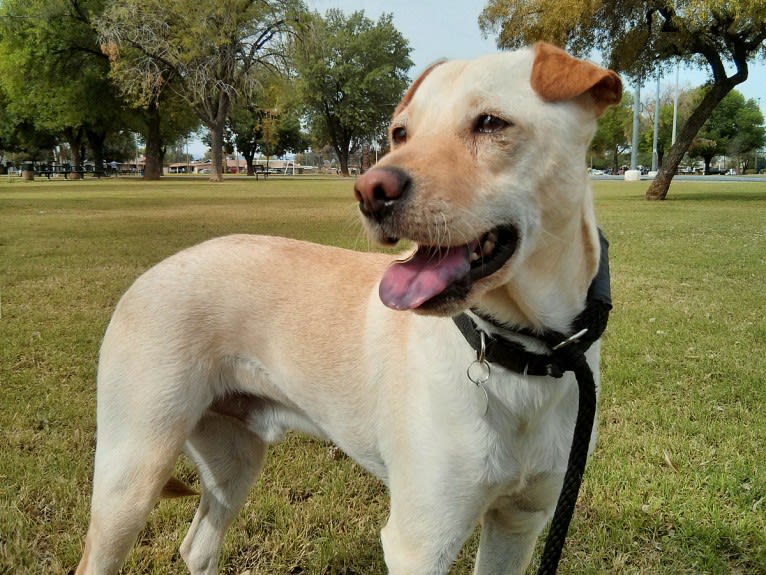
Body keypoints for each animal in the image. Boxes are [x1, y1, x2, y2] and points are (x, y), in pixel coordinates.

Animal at [75, 42, 620, 572]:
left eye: (490, 123)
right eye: (400, 133)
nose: (369, 191)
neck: (525, 348)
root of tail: (149, 273)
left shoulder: (520, 523)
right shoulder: (419, 541)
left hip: (232, 459)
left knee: (198, 548)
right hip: (133, 471)